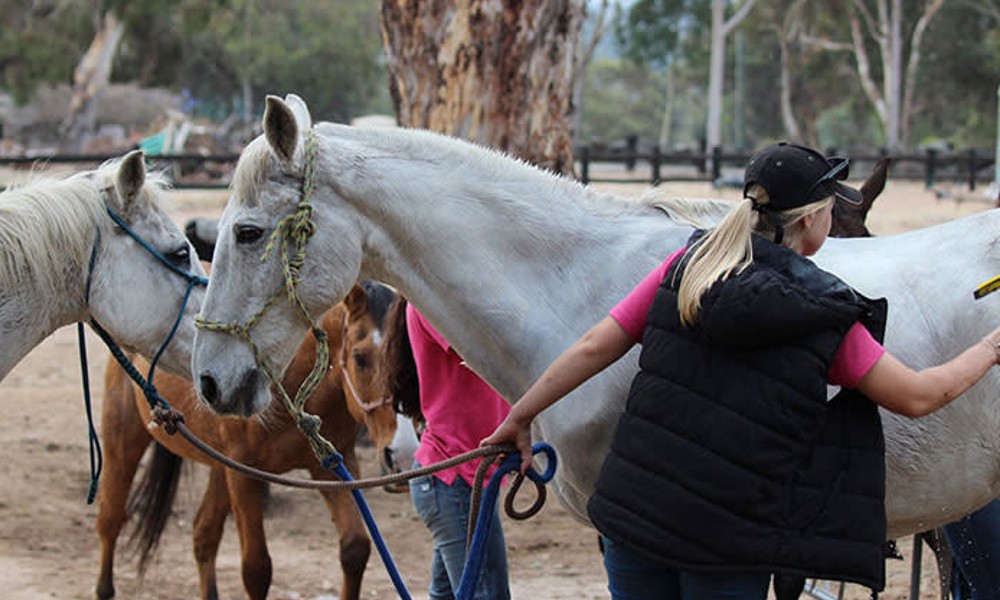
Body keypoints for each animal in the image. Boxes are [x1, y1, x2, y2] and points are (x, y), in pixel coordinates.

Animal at [94, 282, 398, 600]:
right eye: (360, 358)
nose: (396, 452)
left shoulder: (332, 465)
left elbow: (355, 548)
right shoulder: (244, 476)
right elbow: (256, 569)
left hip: (220, 466)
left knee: (203, 534)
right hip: (124, 438)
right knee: (110, 519)